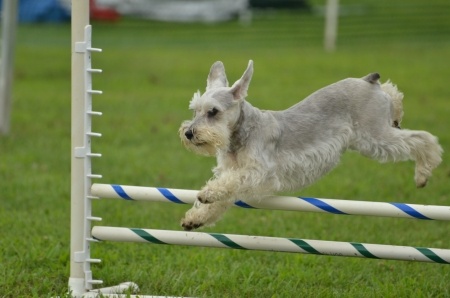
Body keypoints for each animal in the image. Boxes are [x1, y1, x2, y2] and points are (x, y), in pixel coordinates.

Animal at [178, 59, 442, 229]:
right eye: (194, 110)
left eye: (213, 111)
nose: (189, 133)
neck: (240, 134)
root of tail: (367, 81)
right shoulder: (233, 173)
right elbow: (224, 196)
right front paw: (196, 218)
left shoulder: (258, 172)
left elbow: (227, 184)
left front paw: (207, 193)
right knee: (392, 92)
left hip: (377, 136)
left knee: (424, 138)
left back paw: (423, 174)